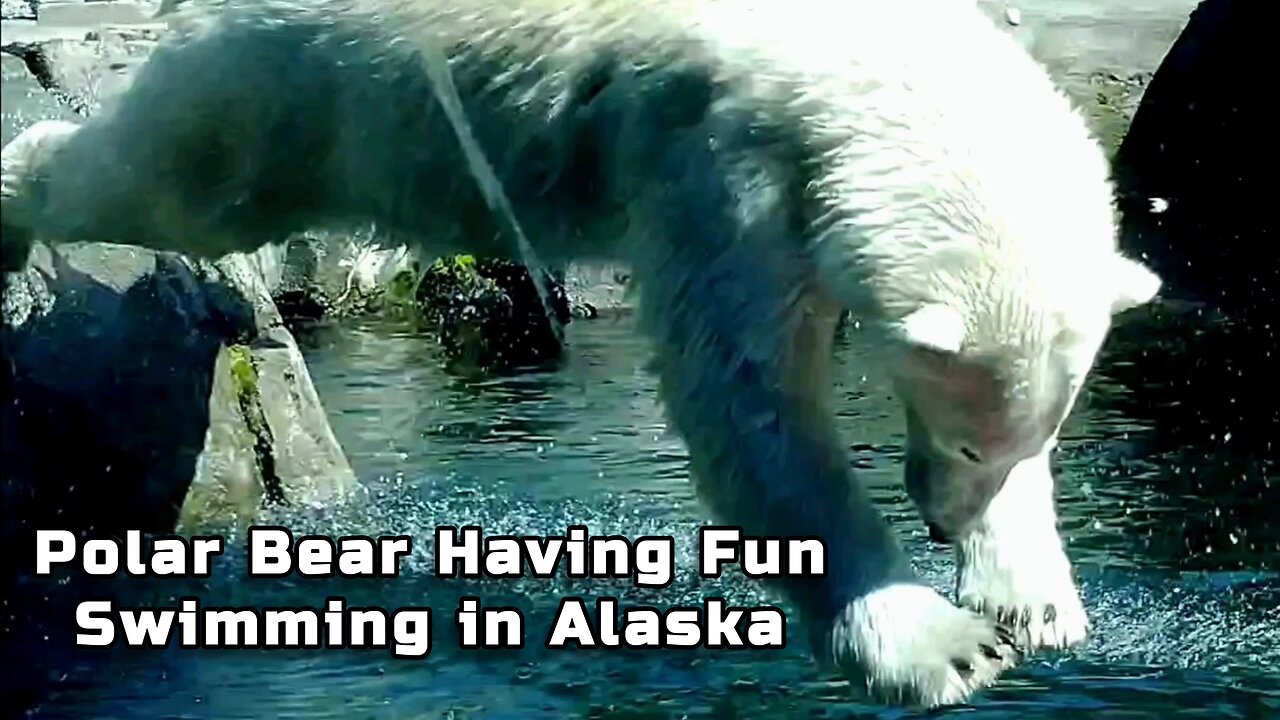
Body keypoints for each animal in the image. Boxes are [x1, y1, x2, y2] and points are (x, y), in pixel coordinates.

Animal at [0, 0, 1162, 707]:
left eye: (1026, 441)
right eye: (966, 444)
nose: (944, 518)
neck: (860, 63)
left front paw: (1032, 600)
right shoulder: (724, 166)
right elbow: (746, 395)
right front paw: (932, 644)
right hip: (295, 85)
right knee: (164, 181)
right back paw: (21, 203)